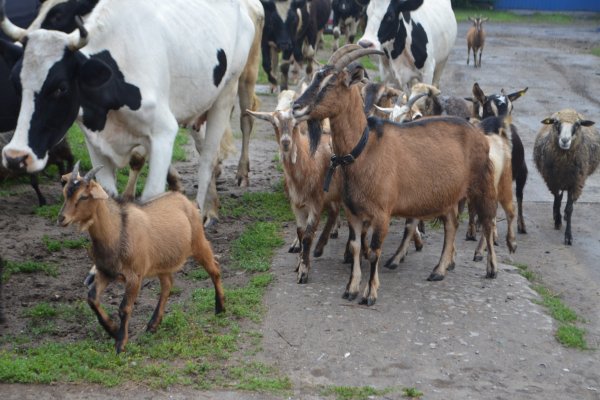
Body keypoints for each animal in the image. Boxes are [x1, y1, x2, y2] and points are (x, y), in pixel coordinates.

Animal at [0, 0, 262, 219]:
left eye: (61, 87)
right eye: (14, 81)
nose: (15, 157)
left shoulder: (163, 132)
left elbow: (152, 197)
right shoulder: (96, 143)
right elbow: (106, 195)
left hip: (231, 89)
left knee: (209, 157)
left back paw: (206, 210)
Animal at [58, 162, 225, 354]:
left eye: (84, 196)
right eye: (65, 193)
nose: (62, 218)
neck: (117, 230)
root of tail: (183, 199)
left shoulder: (134, 275)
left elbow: (124, 308)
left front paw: (120, 344)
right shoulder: (105, 271)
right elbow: (92, 298)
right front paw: (112, 330)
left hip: (198, 242)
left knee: (214, 268)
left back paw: (220, 308)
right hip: (162, 261)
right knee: (167, 284)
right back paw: (153, 324)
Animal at [247, 90, 342, 284]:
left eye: (296, 124)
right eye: (274, 124)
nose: (285, 142)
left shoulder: (316, 203)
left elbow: (307, 237)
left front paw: (303, 272)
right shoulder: (296, 205)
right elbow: (300, 233)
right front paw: (299, 264)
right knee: (334, 211)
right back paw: (320, 247)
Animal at [292, 44, 496, 306]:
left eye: (331, 83)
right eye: (315, 77)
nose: (296, 107)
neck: (364, 148)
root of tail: (478, 132)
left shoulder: (382, 212)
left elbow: (374, 251)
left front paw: (370, 294)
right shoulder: (353, 211)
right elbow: (356, 246)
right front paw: (351, 289)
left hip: (482, 182)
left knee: (488, 221)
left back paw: (491, 268)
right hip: (450, 194)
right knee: (451, 224)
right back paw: (439, 270)